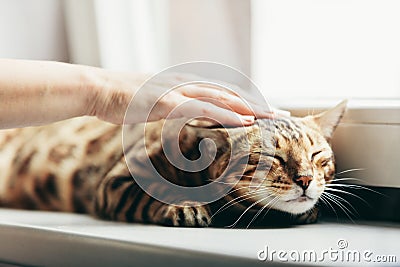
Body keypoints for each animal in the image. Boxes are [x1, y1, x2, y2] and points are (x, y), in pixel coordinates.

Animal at [0, 100, 346, 228]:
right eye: (273, 158)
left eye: (317, 156)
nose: (305, 180)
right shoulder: (116, 181)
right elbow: (150, 193)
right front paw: (185, 207)